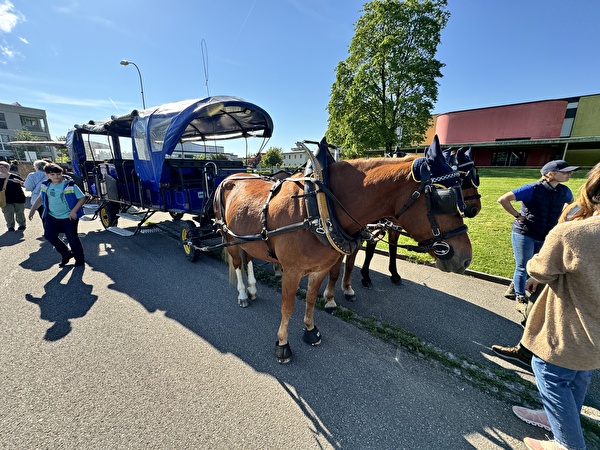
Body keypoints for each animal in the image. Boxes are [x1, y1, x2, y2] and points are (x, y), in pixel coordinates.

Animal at [322, 148, 480, 310]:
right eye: (466, 180)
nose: (475, 209)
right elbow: (364, 255)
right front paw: (363, 277)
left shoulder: (380, 230)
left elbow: (385, 252)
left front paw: (391, 275)